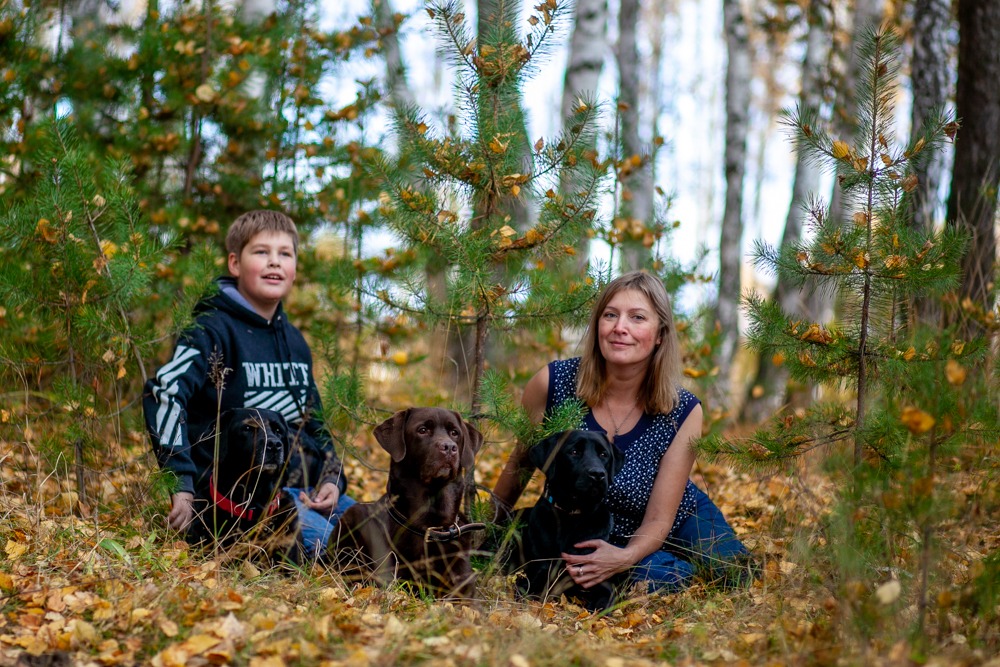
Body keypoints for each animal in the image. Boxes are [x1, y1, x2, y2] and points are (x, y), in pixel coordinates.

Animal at [520, 430, 620, 612]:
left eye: (604, 455)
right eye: (574, 452)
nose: (598, 474)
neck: (572, 515)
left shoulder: (601, 581)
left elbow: (602, 605)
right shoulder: (534, 576)